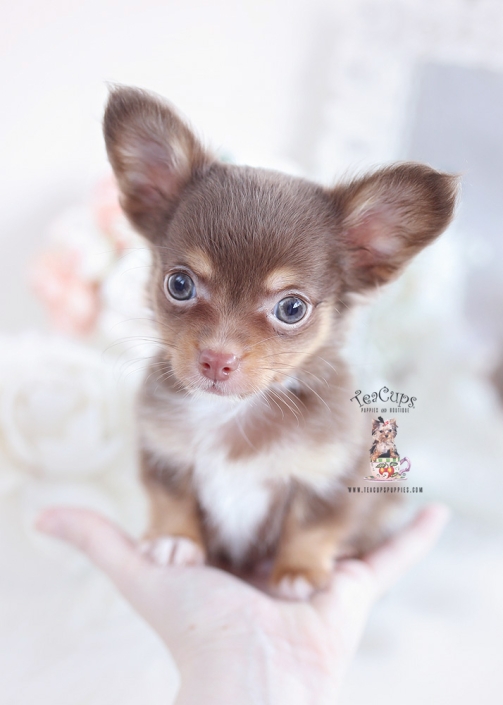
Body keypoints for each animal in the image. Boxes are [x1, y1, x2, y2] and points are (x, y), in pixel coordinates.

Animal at [102, 85, 456, 596]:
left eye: (292, 309)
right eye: (179, 285)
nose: (216, 360)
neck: (233, 412)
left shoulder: (332, 473)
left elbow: (313, 524)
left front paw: (300, 571)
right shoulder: (164, 451)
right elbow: (171, 497)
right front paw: (175, 539)